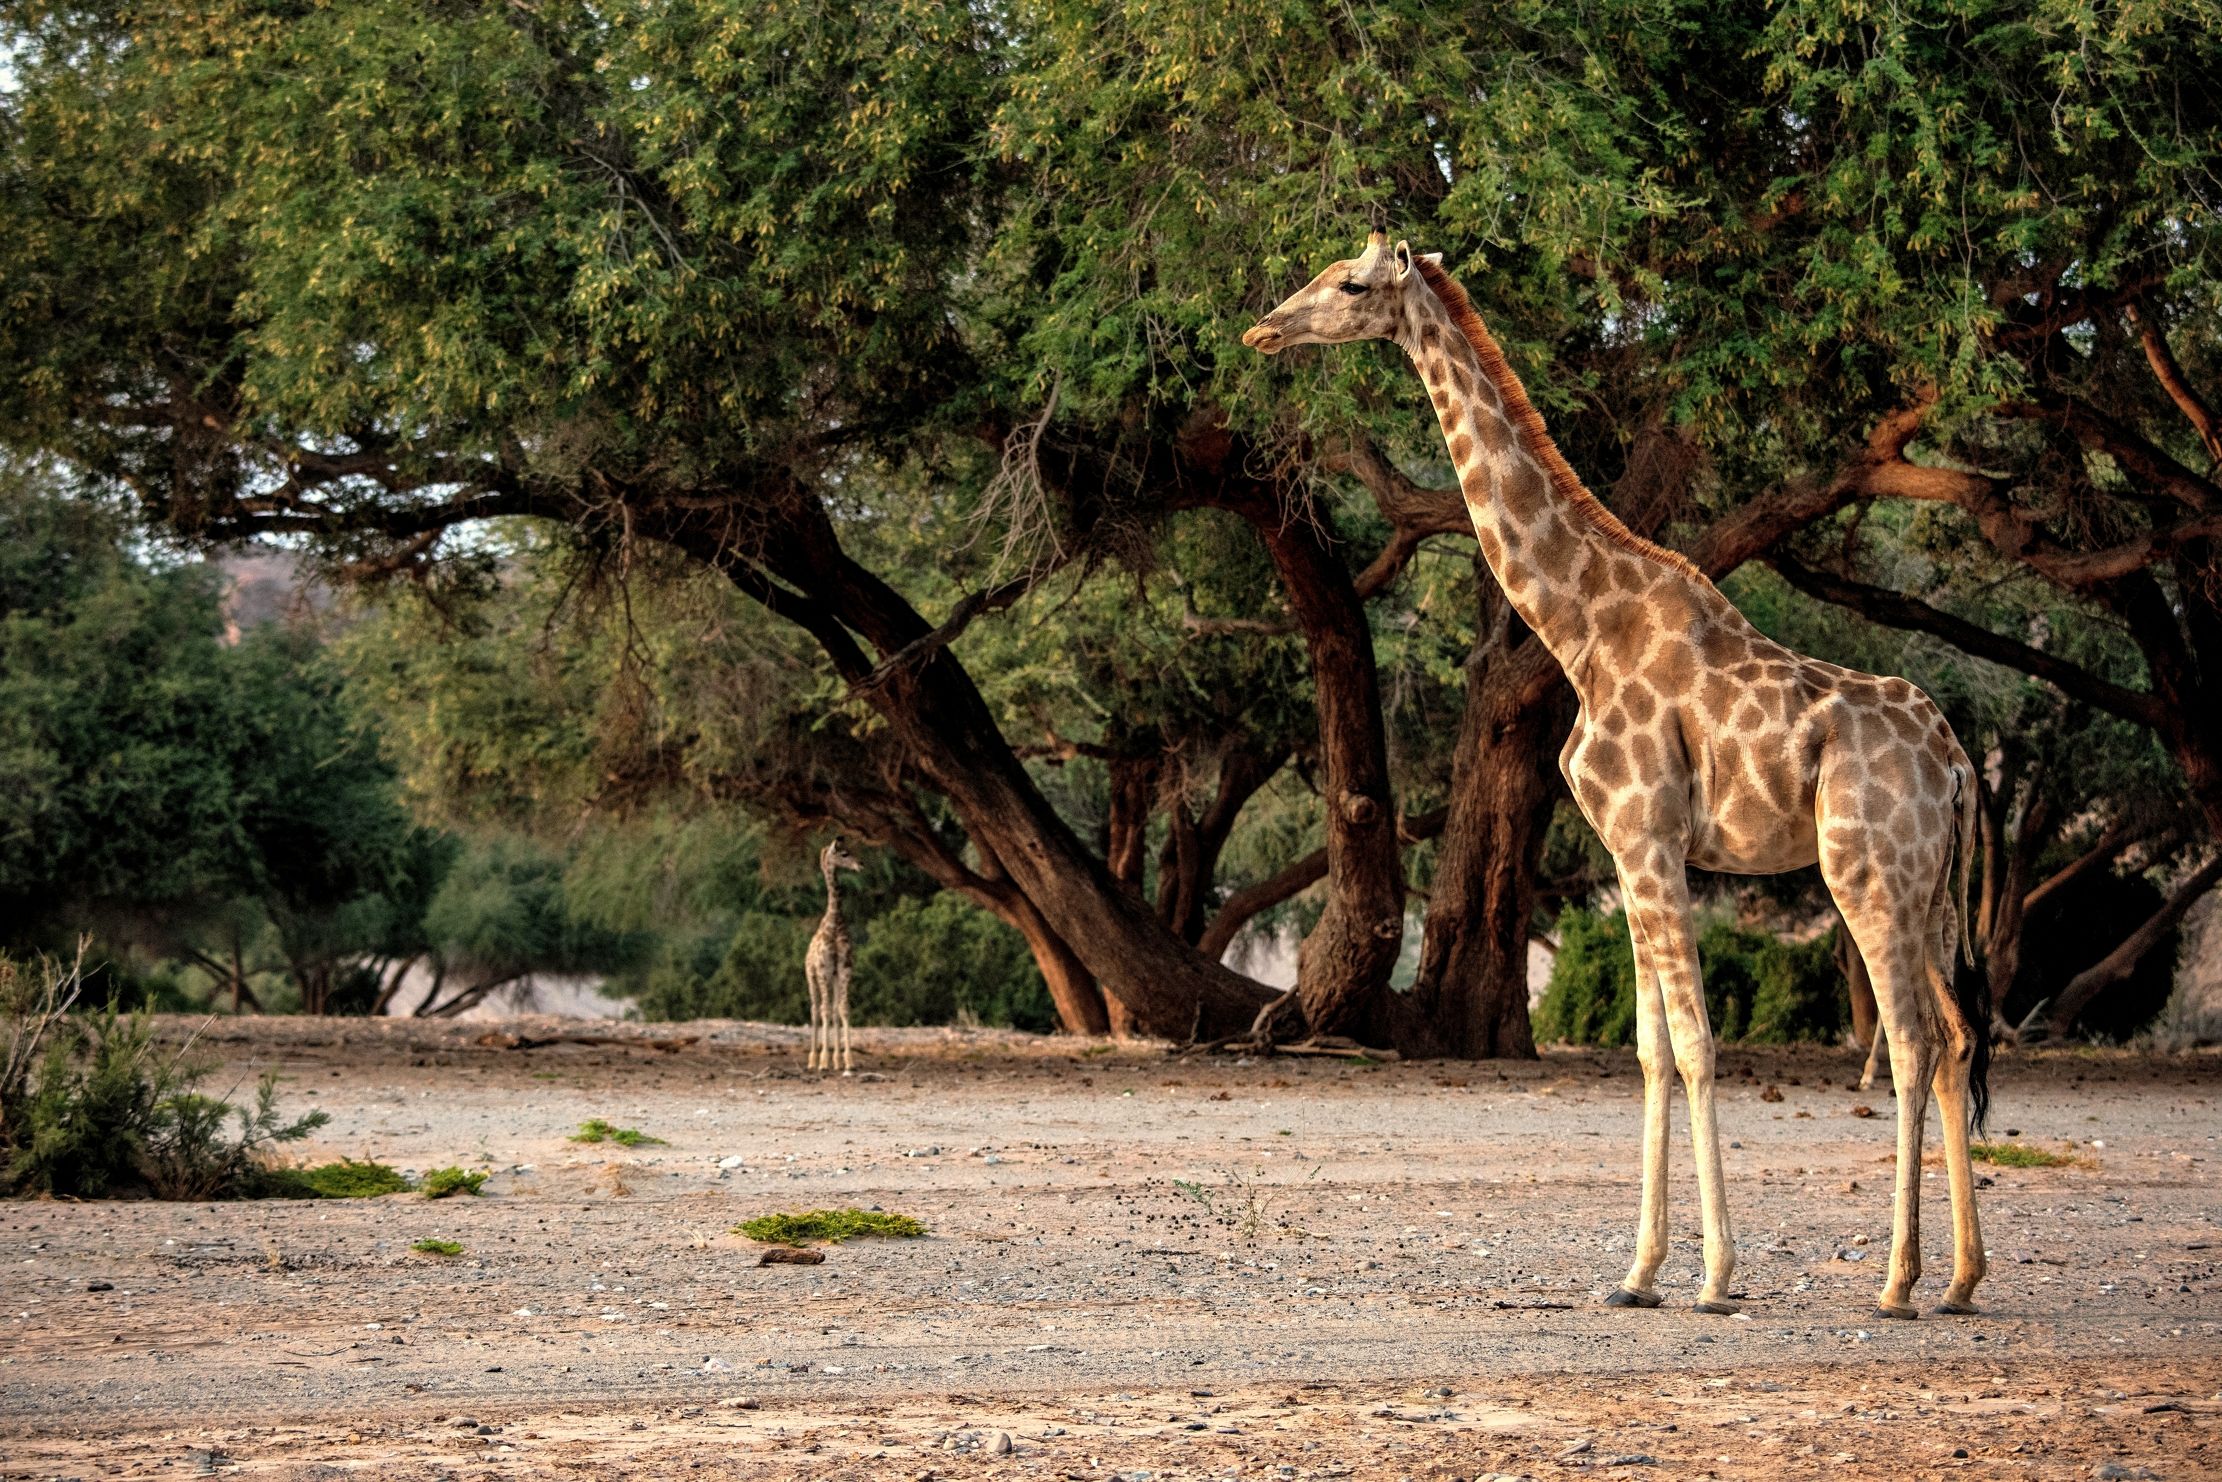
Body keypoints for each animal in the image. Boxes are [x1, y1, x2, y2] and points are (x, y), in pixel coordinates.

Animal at [1243, 233, 1991, 1319]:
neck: (1580, 628)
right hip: (1929, 889)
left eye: (1350, 283)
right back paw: (1962, 1280)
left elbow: (1695, 1044)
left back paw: (1897, 1281)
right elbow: (1648, 1051)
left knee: (1910, 1042)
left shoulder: (1649, 839)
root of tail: (1957, 761)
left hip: (1866, 873)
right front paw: (1636, 1274)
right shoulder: (1626, 853)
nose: (1263, 328)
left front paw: (1715, 1278)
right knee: (1958, 1038)